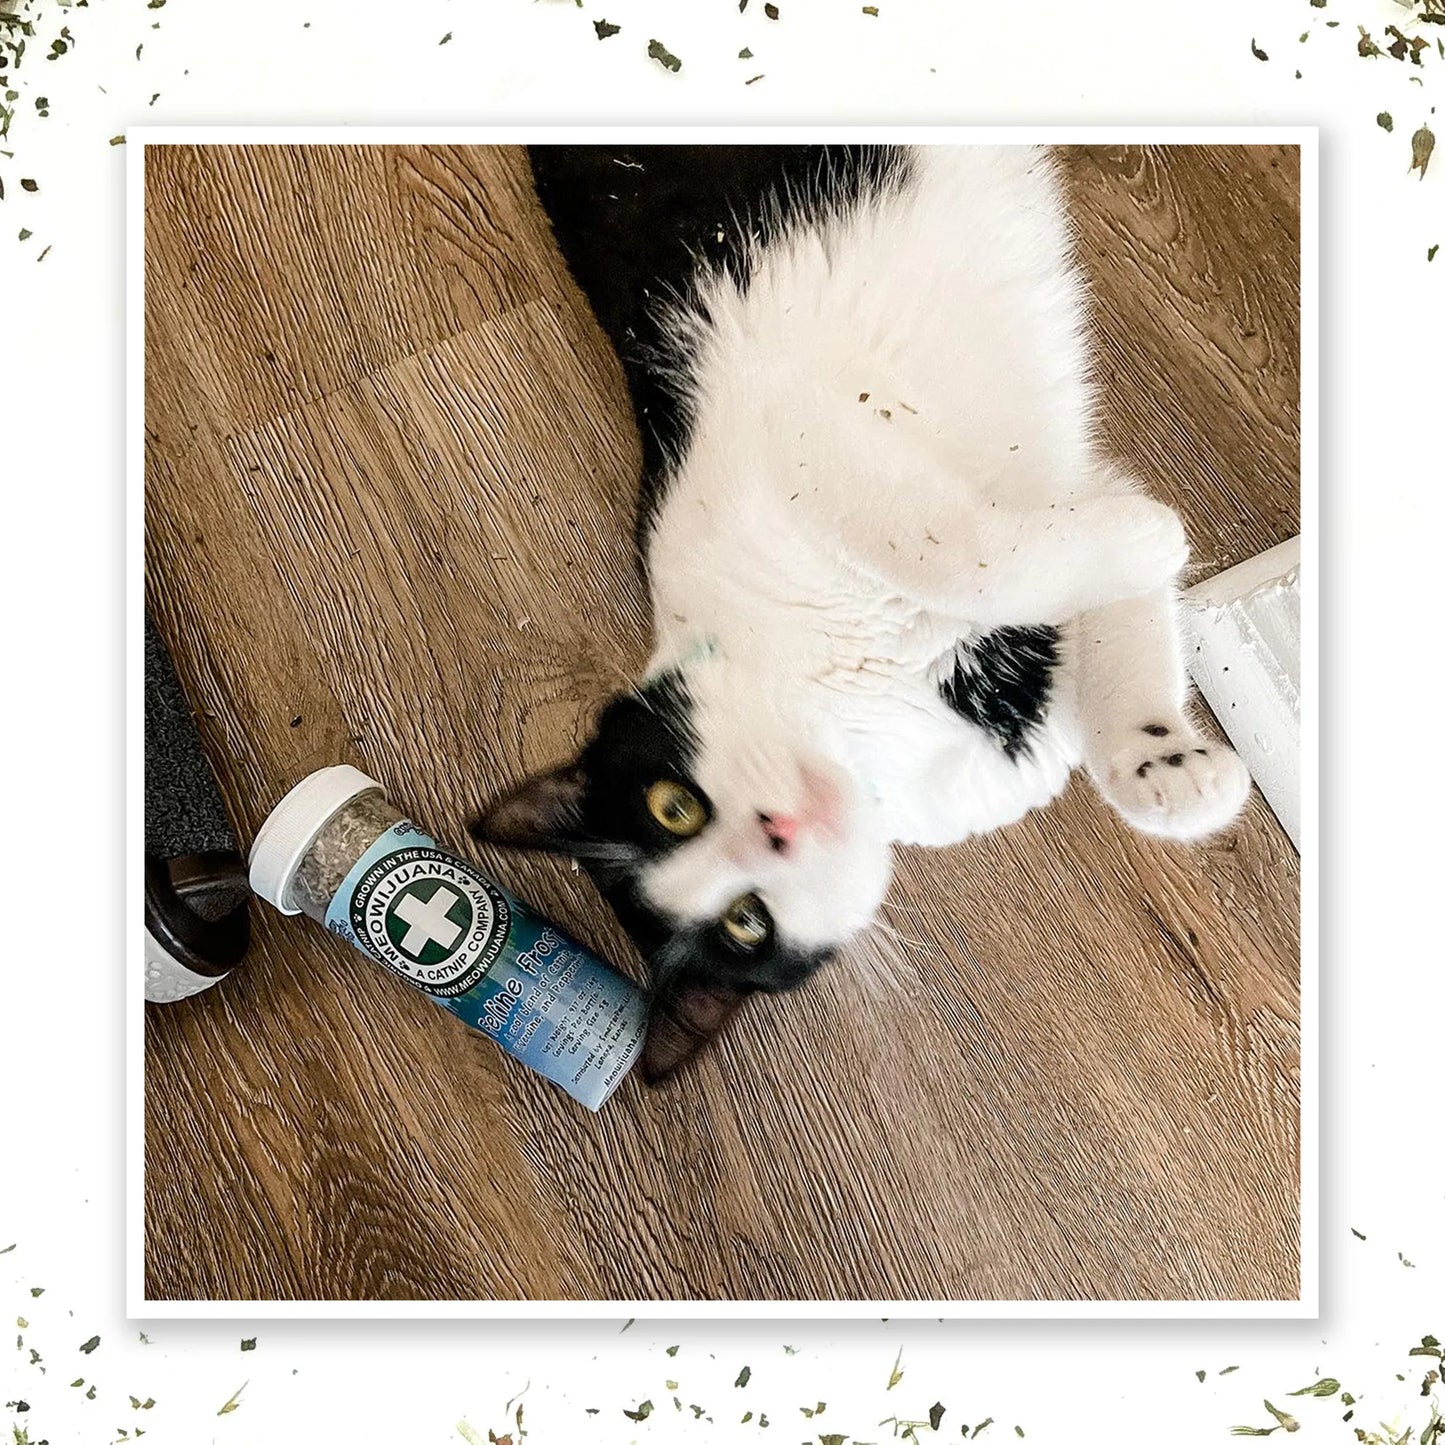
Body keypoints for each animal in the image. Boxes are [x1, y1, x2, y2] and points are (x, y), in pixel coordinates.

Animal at [476, 143, 1254, 1051]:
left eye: (673, 807)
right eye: (748, 921)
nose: (779, 829)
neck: (853, 702)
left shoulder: (818, 441)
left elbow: (957, 553)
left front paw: (1148, 554)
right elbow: (1081, 609)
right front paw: (1159, 759)